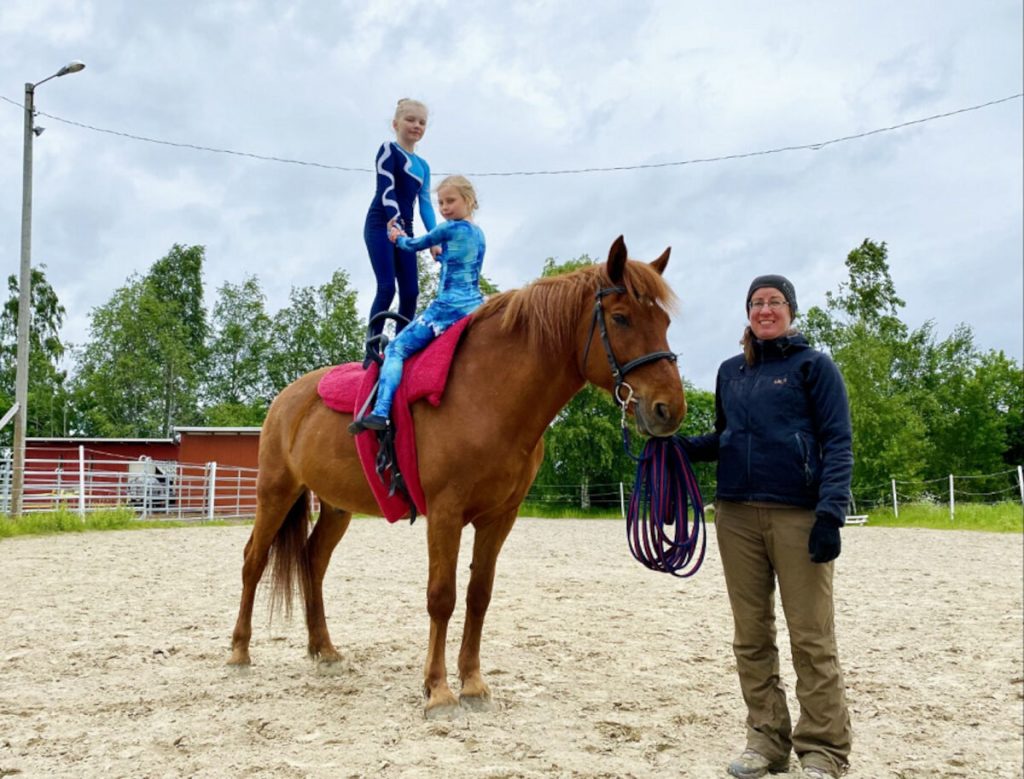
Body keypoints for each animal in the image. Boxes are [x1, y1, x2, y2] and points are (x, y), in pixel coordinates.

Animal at [228, 237, 684, 716]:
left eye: (665, 321)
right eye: (621, 317)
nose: (669, 409)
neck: (485, 395)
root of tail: (286, 399)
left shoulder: (499, 518)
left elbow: (478, 595)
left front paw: (473, 684)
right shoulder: (446, 513)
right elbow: (441, 597)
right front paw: (438, 689)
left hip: (335, 507)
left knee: (313, 562)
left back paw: (325, 649)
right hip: (275, 492)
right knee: (253, 560)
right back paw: (240, 651)